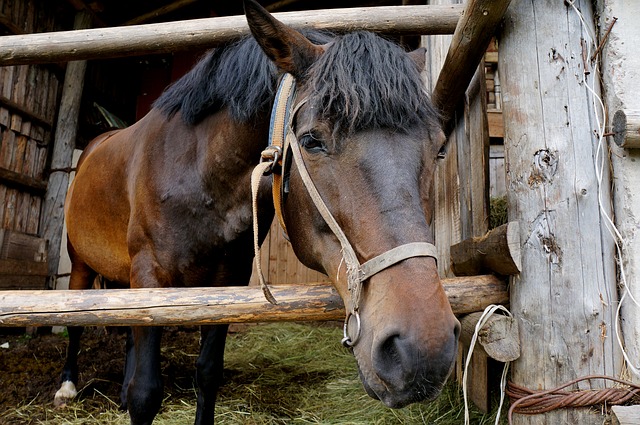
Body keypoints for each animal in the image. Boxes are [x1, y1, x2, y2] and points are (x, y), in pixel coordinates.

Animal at [54, 1, 460, 423]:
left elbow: (207, 375)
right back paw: (66, 387)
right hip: (81, 264)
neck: (194, 171)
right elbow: (145, 393)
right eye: (312, 140)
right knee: (75, 321)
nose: (423, 348)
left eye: (438, 148)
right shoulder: (151, 276)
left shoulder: (226, 281)